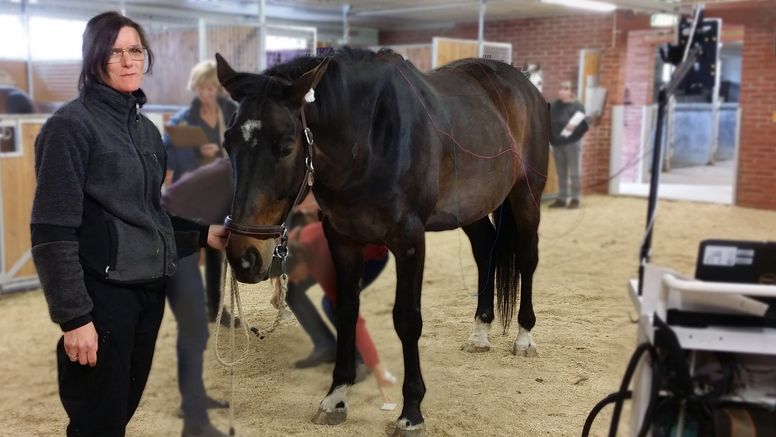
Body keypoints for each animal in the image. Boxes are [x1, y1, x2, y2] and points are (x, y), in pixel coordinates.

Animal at [215, 49, 548, 434]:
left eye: (286, 147)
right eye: (228, 143)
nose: (244, 257)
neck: (369, 140)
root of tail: (524, 84)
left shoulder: (409, 240)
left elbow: (407, 319)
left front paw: (411, 411)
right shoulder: (342, 238)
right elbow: (346, 310)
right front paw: (335, 397)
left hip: (526, 196)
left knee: (527, 258)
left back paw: (525, 336)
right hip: (472, 208)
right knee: (485, 252)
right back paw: (480, 331)